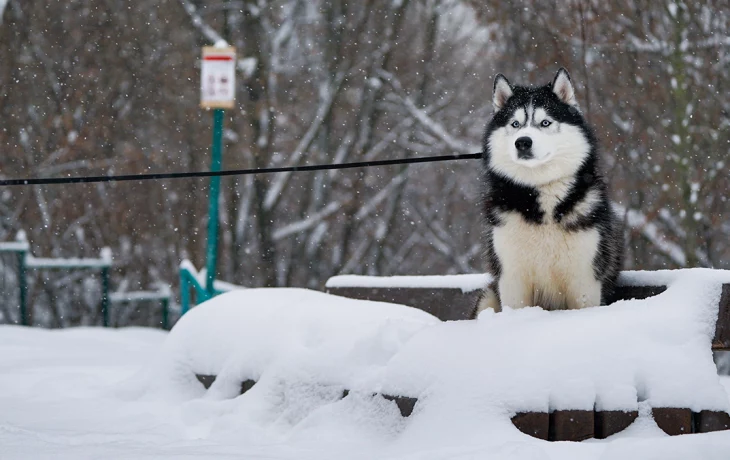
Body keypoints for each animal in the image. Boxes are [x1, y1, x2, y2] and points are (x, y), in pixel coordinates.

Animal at [474, 67, 624, 312]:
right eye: (515, 124)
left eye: (545, 123)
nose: (522, 142)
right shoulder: (512, 278)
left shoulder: (585, 279)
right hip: (488, 297)